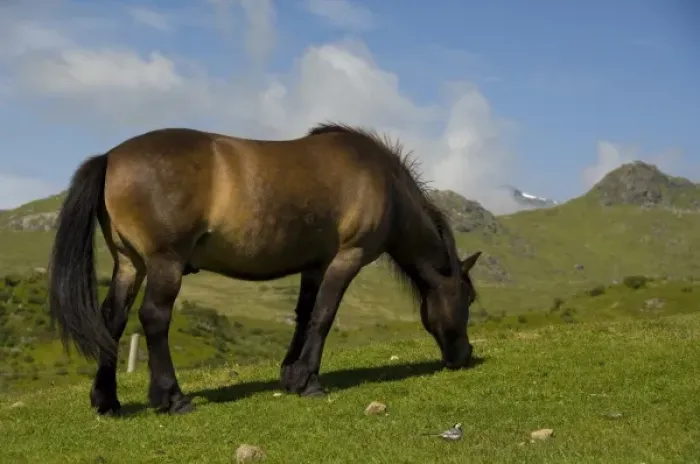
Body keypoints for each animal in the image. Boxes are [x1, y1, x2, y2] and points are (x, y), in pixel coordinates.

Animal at [47, 122, 482, 415]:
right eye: (469, 298)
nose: (464, 355)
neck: (383, 182)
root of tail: (110, 157)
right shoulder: (347, 258)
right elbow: (324, 316)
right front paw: (310, 381)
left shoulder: (315, 265)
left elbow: (304, 315)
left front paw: (291, 376)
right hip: (164, 263)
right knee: (154, 318)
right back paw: (172, 397)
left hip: (129, 265)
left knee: (112, 320)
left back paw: (107, 400)